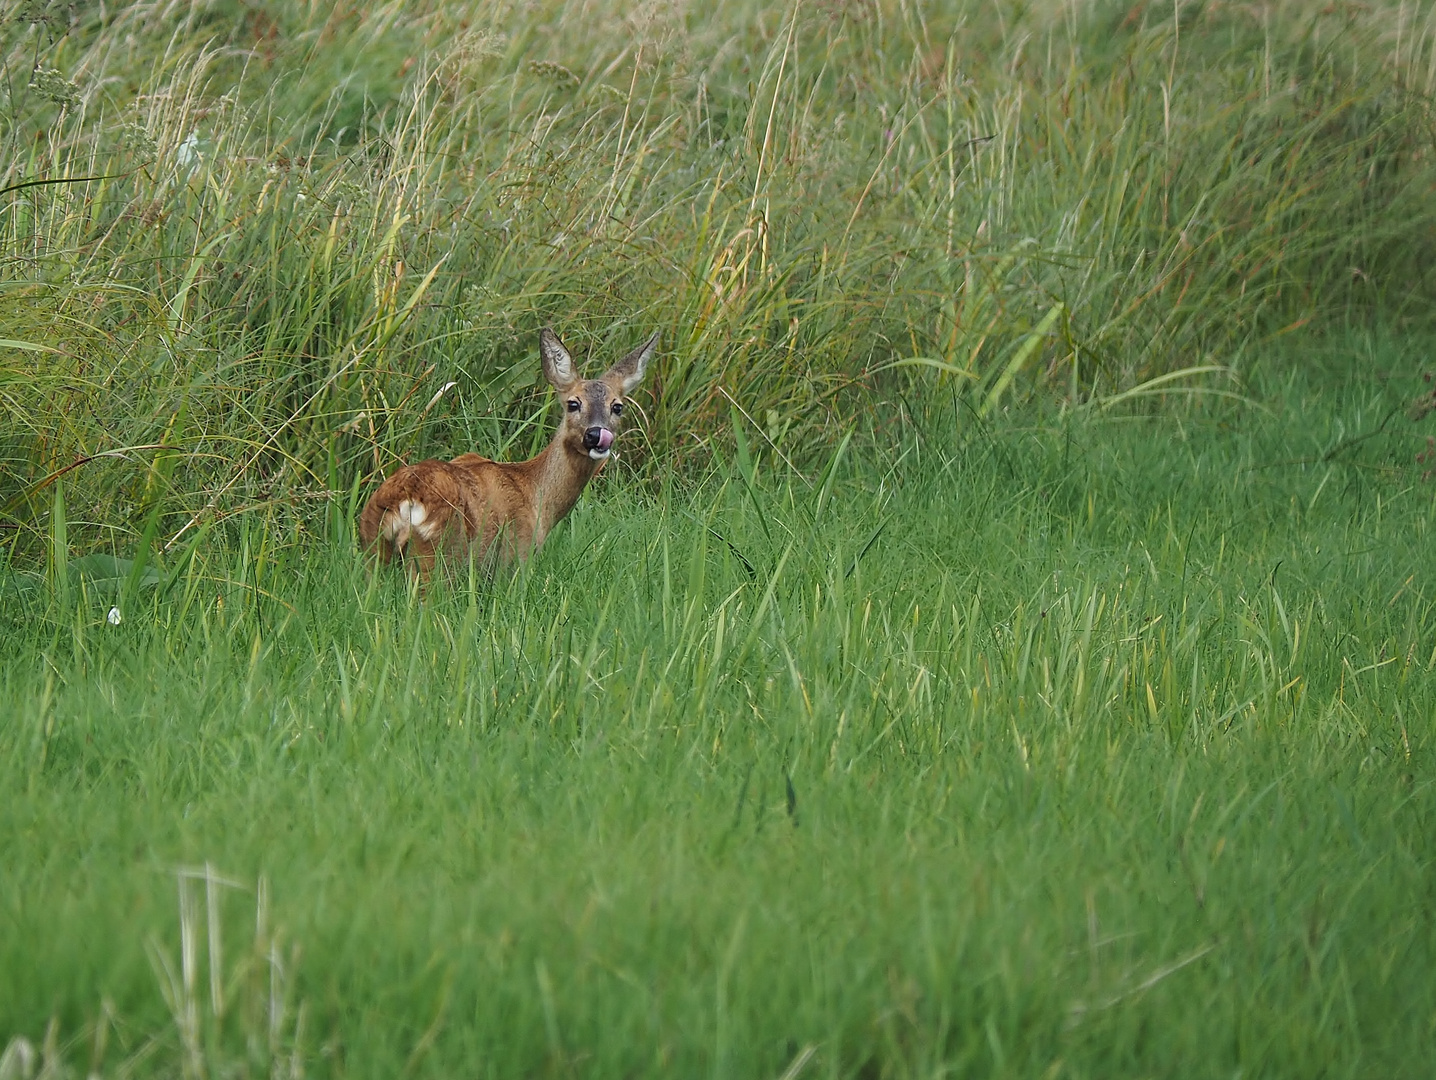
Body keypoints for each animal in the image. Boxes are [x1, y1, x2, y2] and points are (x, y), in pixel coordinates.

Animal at [359, 328, 657, 577]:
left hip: (373, 551)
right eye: (574, 403)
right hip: (441, 556)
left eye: (617, 407)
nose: (595, 435)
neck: (536, 494)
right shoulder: (517, 556)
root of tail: (406, 498)